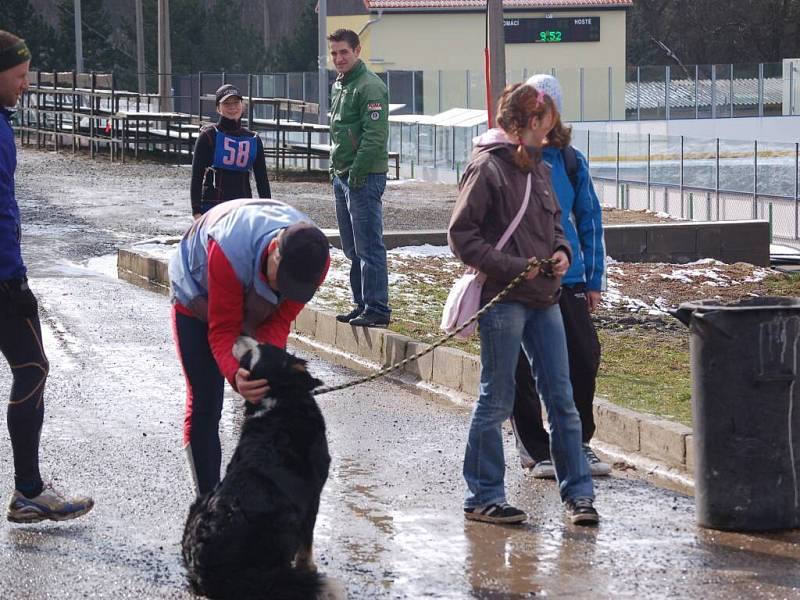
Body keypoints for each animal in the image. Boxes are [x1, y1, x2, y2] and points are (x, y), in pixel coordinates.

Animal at [181, 340, 340, 596]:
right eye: (249, 355)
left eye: (257, 349)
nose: (240, 336)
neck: (277, 399)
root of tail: (204, 571)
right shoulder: (313, 494)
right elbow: (307, 541)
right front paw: (309, 567)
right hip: (285, 521)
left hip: (200, 502)